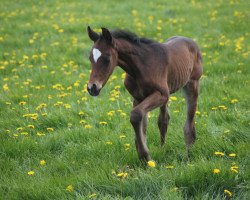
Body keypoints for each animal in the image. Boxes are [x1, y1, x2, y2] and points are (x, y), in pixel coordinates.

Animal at [87, 26, 202, 161]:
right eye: (90, 58)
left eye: (107, 58)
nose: (92, 87)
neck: (141, 67)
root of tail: (191, 41)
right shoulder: (138, 97)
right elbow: (142, 123)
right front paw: (143, 155)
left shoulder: (161, 94)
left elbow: (136, 115)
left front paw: (145, 155)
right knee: (163, 120)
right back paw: (163, 149)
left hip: (192, 84)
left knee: (190, 119)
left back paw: (189, 152)